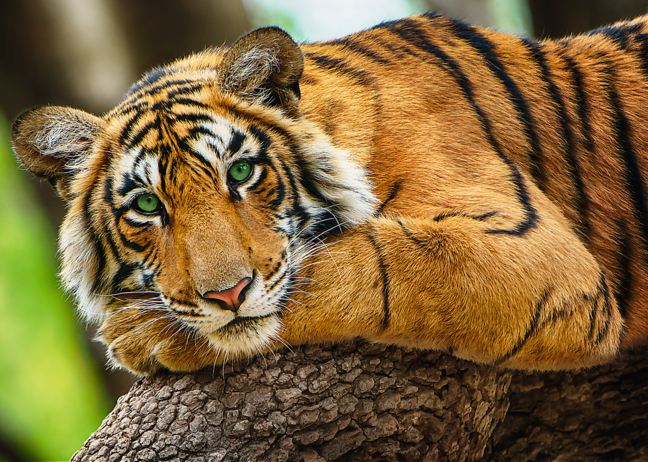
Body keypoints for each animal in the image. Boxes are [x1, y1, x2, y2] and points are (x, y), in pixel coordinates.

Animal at [11, 13, 648, 375]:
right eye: (147, 206)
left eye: (241, 172)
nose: (227, 295)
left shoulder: (539, 254)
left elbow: (367, 264)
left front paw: (139, 334)